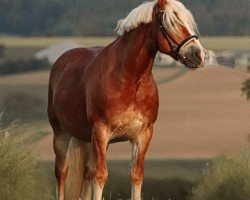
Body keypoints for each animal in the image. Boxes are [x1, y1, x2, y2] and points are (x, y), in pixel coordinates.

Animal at [47, 0, 206, 199]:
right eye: (172, 22)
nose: (199, 55)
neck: (130, 78)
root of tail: (62, 61)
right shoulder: (101, 132)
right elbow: (101, 175)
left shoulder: (143, 134)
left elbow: (136, 175)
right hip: (61, 133)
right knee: (62, 172)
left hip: (87, 139)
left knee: (87, 173)